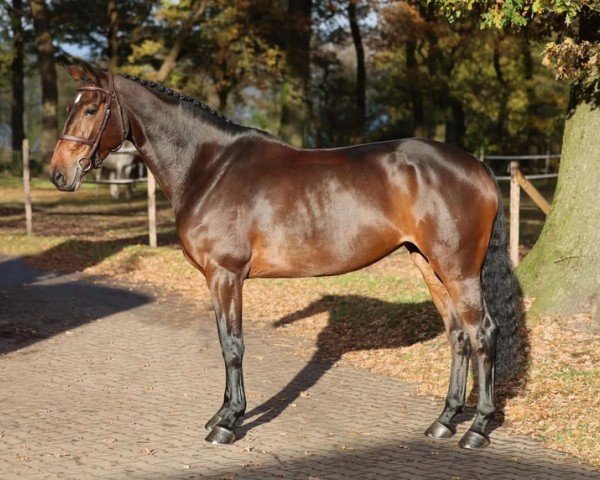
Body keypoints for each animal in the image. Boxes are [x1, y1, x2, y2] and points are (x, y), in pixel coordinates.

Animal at [50, 62, 520, 448]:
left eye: (91, 109)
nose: (58, 173)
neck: (210, 166)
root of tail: (477, 165)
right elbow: (225, 341)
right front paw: (222, 414)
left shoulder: (225, 274)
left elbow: (232, 344)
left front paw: (228, 422)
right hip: (429, 266)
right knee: (457, 335)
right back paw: (443, 422)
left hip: (458, 271)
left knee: (483, 333)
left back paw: (477, 429)